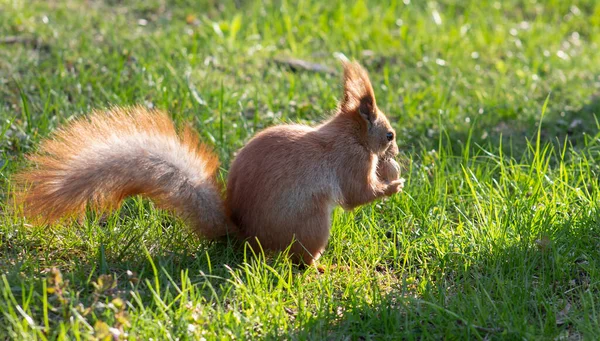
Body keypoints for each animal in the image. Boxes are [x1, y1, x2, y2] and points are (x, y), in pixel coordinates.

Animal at [16, 60, 406, 262]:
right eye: (389, 135)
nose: (397, 153)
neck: (350, 134)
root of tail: (244, 238)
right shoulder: (350, 162)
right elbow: (357, 196)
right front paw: (393, 185)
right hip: (311, 226)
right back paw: (316, 268)